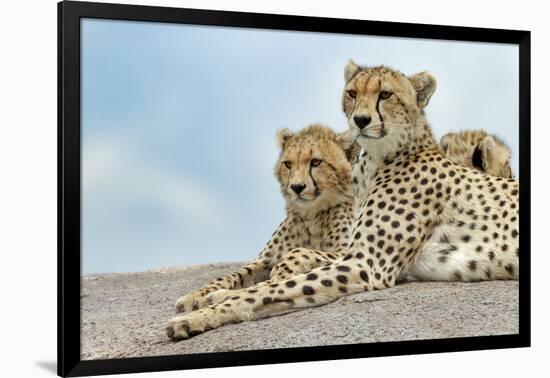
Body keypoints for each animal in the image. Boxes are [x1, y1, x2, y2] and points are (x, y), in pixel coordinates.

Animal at [175, 124, 360, 314]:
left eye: (316, 162)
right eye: (288, 164)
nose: (296, 187)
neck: (312, 213)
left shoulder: (350, 253)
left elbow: (299, 253)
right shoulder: (265, 260)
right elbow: (234, 274)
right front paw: (195, 295)